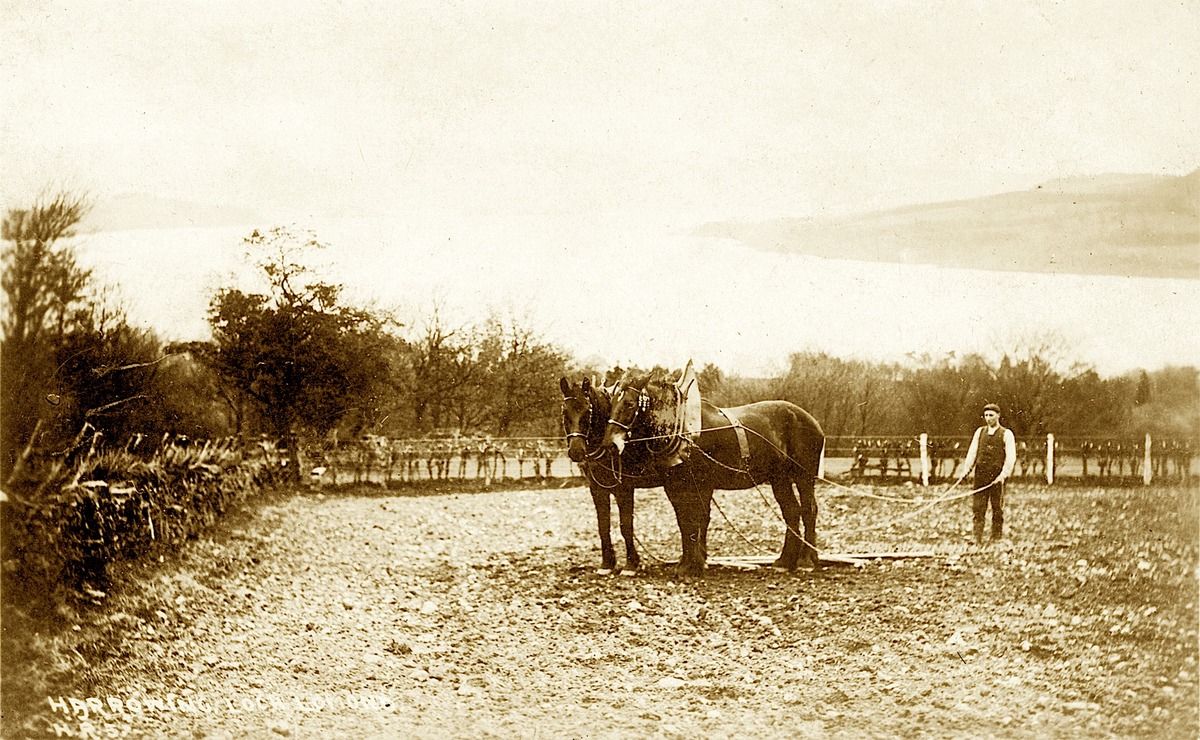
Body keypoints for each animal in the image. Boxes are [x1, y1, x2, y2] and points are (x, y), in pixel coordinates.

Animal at [561, 378, 667, 573]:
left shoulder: (624, 489)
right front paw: (607, 563)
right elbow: (603, 525)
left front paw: (631, 564)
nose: (576, 451)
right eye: (565, 412)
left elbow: (626, 525)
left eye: (588, 411)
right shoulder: (597, 489)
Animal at [600, 371, 825, 573]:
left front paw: (692, 565)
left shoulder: (697, 484)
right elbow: (685, 521)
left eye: (629, 404)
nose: (609, 443)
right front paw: (689, 562)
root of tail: (812, 420)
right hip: (779, 478)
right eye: (611, 404)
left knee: (808, 510)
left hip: (804, 476)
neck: (683, 430)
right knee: (791, 511)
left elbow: (695, 519)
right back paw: (785, 561)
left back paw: (806, 560)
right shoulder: (674, 486)